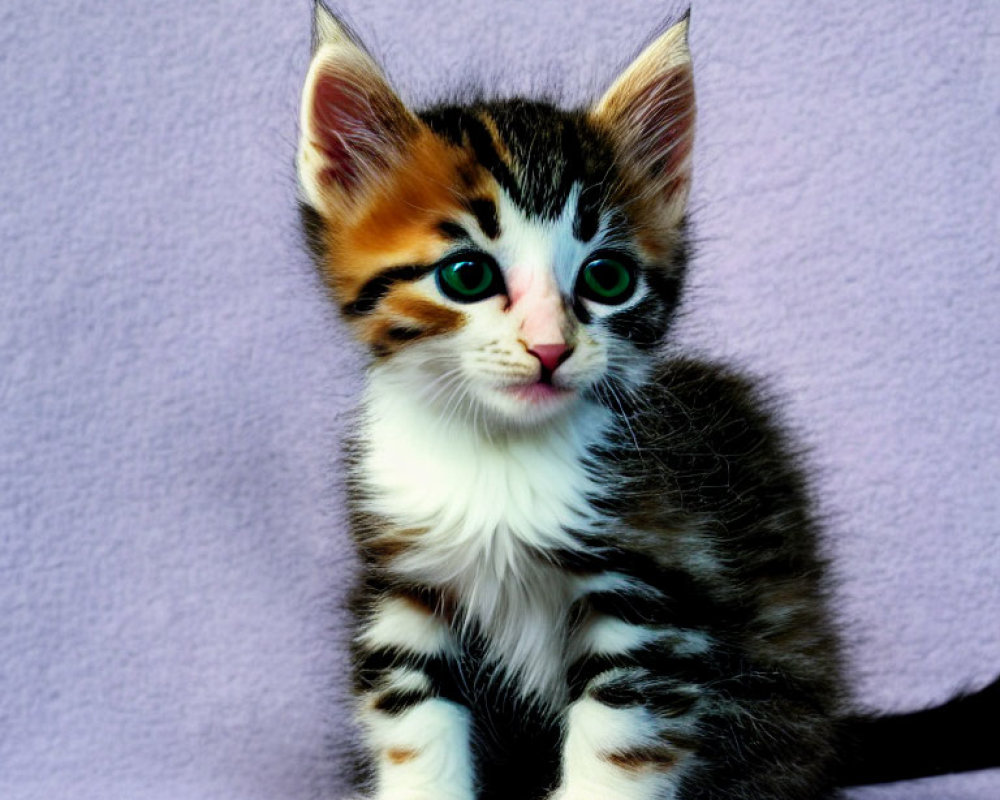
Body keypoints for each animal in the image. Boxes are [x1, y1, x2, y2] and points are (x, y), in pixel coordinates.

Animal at [296, 6, 1000, 800]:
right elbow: (414, 724)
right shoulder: (403, 588)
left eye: (607, 278)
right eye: (467, 275)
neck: (501, 455)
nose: (550, 348)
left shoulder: (654, 596)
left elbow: (620, 746)